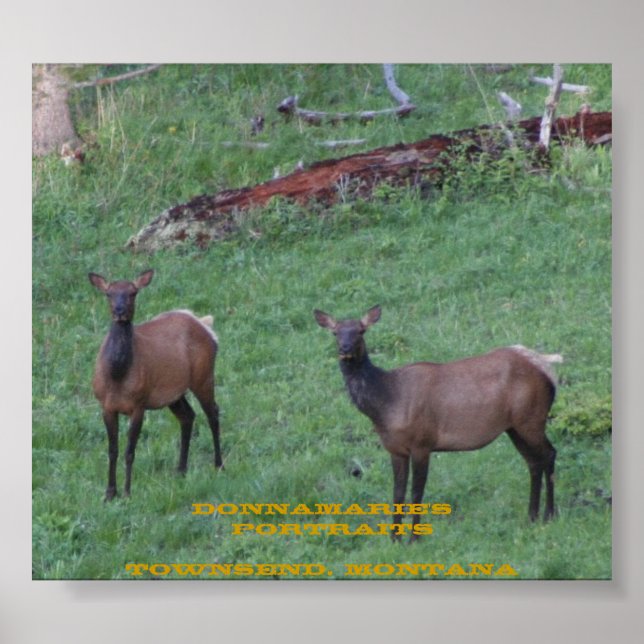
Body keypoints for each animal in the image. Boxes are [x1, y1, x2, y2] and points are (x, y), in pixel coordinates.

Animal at [89, 269, 222, 501]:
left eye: (133, 292)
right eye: (108, 293)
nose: (120, 311)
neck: (117, 376)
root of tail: (205, 325)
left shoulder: (139, 404)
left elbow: (130, 451)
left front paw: (127, 492)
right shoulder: (106, 406)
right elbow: (112, 450)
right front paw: (109, 493)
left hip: (204, 376)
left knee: (213, 413)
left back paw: (218, 465)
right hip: (174, 393)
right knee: (188, 416)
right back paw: (181, 470)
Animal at [314, 305, 561, 540]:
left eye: (361, 331)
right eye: (335, 332)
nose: (345, 349)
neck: (386, 405)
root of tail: (549, 371)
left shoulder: (422, 442)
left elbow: (417, 493)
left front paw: (414, 538)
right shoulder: (395, 449)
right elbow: (397, 493)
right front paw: (394, 538)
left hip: (532, 418)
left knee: (549, 454)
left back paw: (549, 515)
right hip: (514, 427)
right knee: (533, 462)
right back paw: (531, 516)